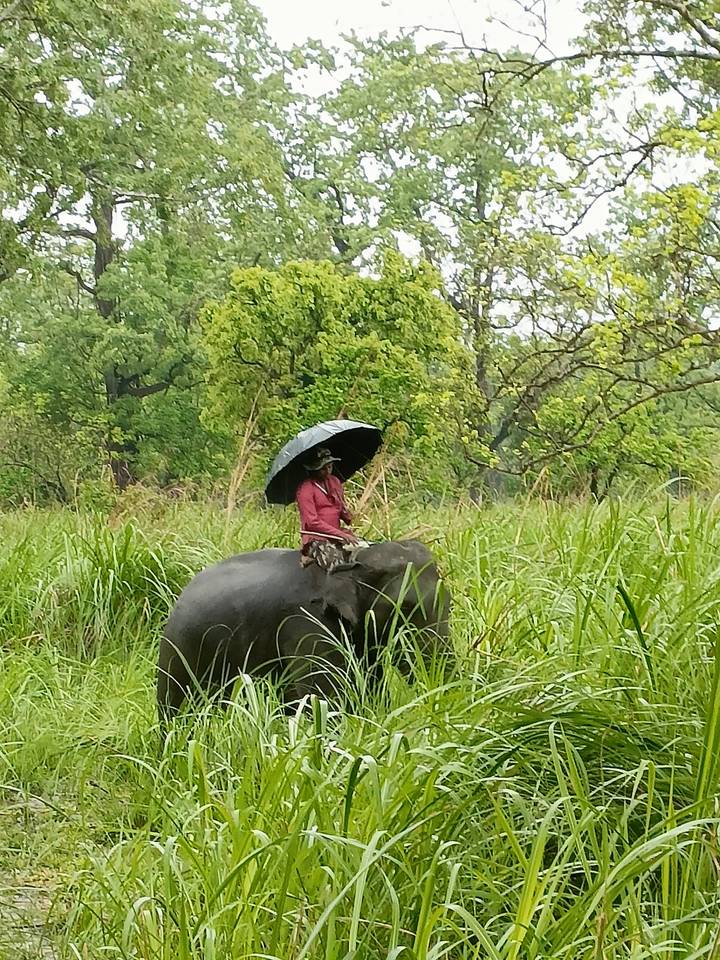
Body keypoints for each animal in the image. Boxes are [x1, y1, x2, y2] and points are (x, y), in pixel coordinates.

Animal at [156, 539, 450, 721]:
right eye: (404, 608)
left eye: (450, 600)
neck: (351, 562)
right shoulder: (307, 623)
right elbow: (326, 699)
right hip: (178, 649)